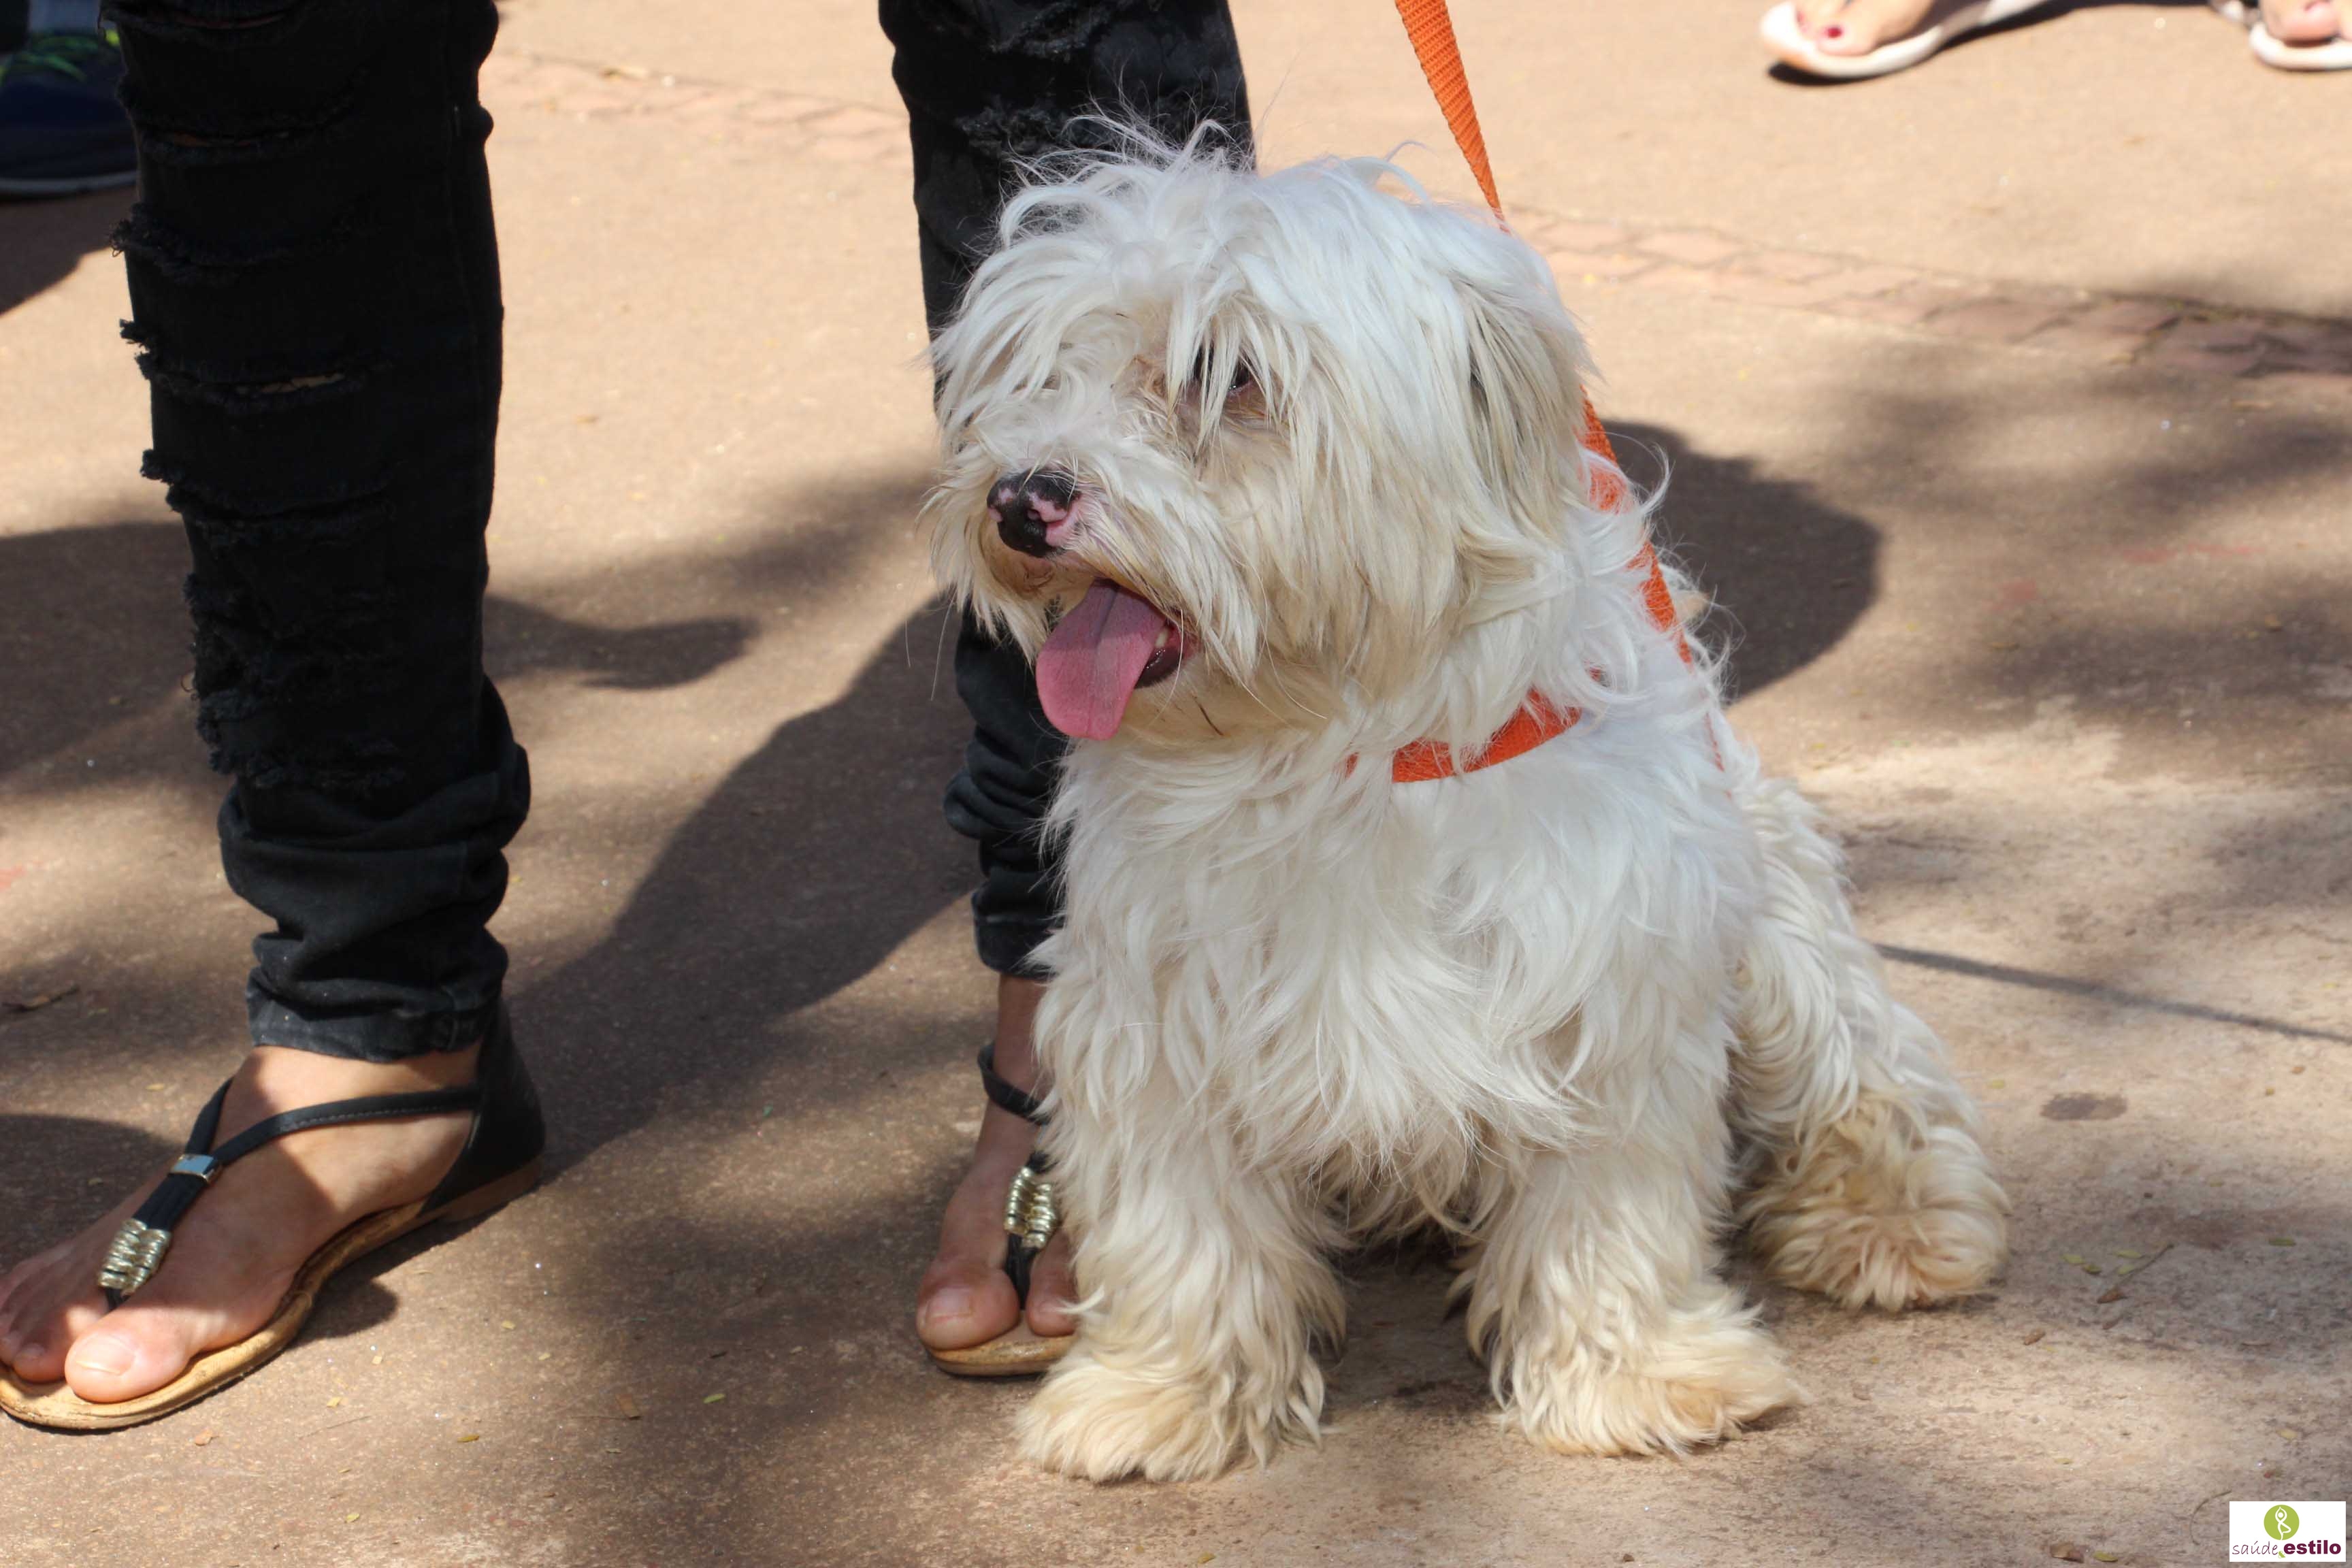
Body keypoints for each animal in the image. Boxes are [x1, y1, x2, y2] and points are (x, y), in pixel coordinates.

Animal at [923, 131, 2008, 1481]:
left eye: (1229, 379)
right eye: (1037, 371)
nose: (1021, 498)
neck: (1338, 749)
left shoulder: (1607, 986)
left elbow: (1609, 1210)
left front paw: (1636, 1373)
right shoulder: (1153, 1012)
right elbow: (1184, 1226)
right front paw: (1157, 1393)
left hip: (1776, 933)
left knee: (1869, 1075)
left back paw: (1892, 1219)